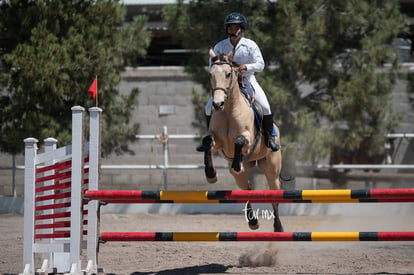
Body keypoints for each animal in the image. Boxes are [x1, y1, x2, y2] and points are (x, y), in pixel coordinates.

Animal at [201, 49, 284, 233]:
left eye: (228, 73)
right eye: (210, 74)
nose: (217, 104)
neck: (228, 111)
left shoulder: (248, 140)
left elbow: (239, 140)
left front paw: (236, 163)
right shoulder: (218, 142)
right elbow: (207, 142)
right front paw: (211, 174)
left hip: (271, 170)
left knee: (275, 196)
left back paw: (278, 227)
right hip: (240, 178)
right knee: (247, 189)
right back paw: (253, 222)